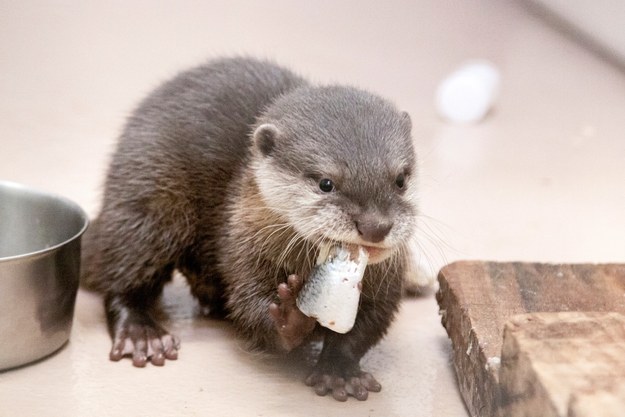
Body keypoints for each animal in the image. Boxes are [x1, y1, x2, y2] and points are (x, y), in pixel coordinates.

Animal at [79, 57, 420, 402]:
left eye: (400, 179)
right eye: (326, 183)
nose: (376, 226)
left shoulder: (388, 277)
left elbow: (368, 325)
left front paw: (339, 371)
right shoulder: (242, 244)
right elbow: (249, 308)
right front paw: (290, 316)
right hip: (148, 203)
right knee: (123, 270)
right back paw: (142, 333)